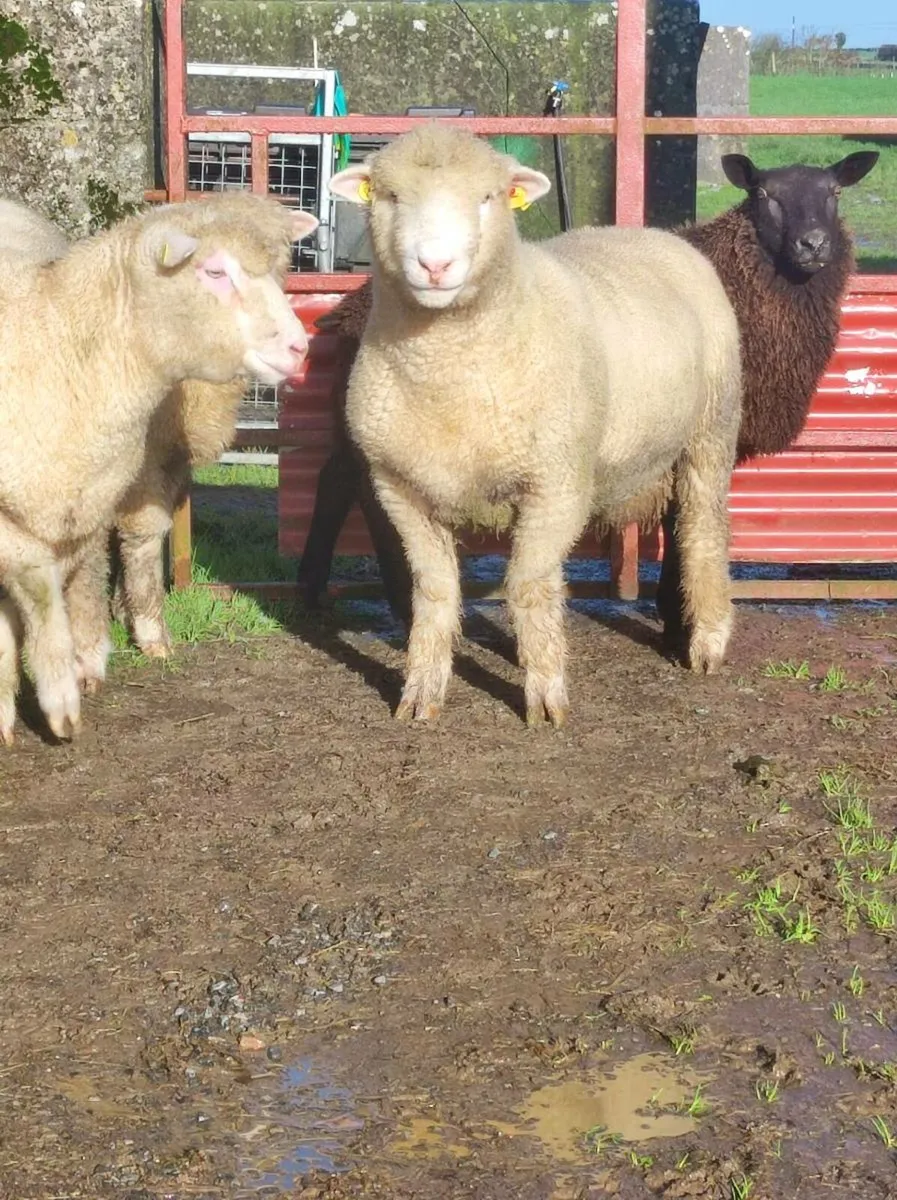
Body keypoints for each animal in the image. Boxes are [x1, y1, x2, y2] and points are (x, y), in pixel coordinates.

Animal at [0, 191, 315, 744]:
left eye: (279, 269)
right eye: (215, 271)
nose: (300, 348)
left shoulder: (103, 491)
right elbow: (41, 591)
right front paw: (57, 699)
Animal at [327, 123, 742, 726]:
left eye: (488, 197)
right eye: (391, 197)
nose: (434, 265)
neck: (448, 372)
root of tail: (656, 235)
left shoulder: (558, 485)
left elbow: (527, 588)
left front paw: (545, 697)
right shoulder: (400, 490)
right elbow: (433, 590)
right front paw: (422, 691)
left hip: (711, 432)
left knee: (704, 532)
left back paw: (707, 641)